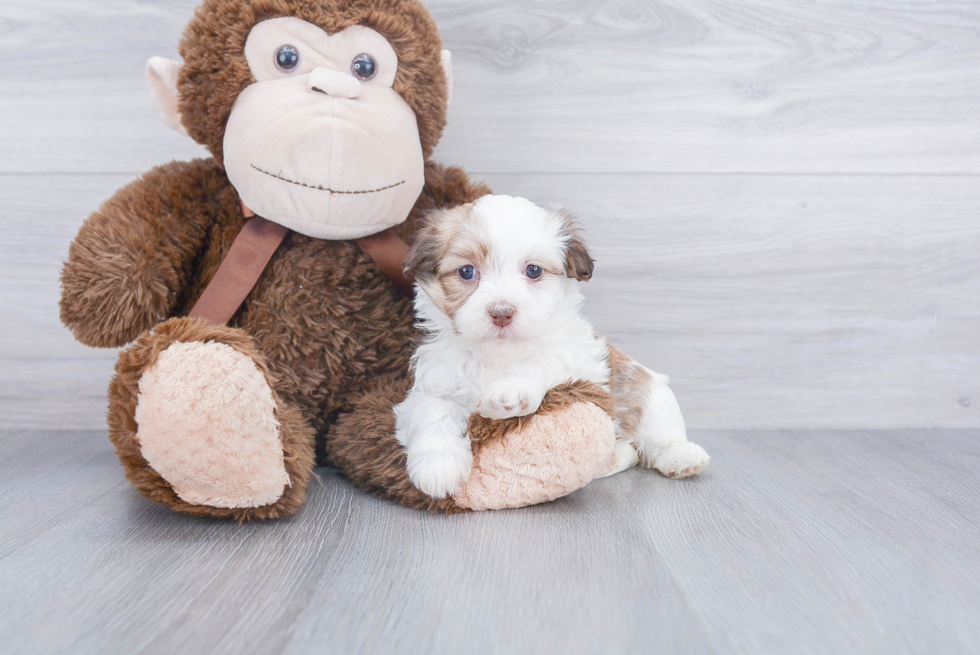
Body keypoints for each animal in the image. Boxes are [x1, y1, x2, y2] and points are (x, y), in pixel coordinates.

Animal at [394, 197, 708, 500]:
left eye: (533, 270)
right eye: (467, 271)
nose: (501, 312)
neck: (498, 355)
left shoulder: (576, 358)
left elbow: (543, 363)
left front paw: (511, 391)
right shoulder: (434, 382)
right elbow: (435, 411)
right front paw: (438, 466)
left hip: (651, 396)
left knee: (658, 434)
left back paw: (682, 457)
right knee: (631, 450)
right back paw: (612, 459)